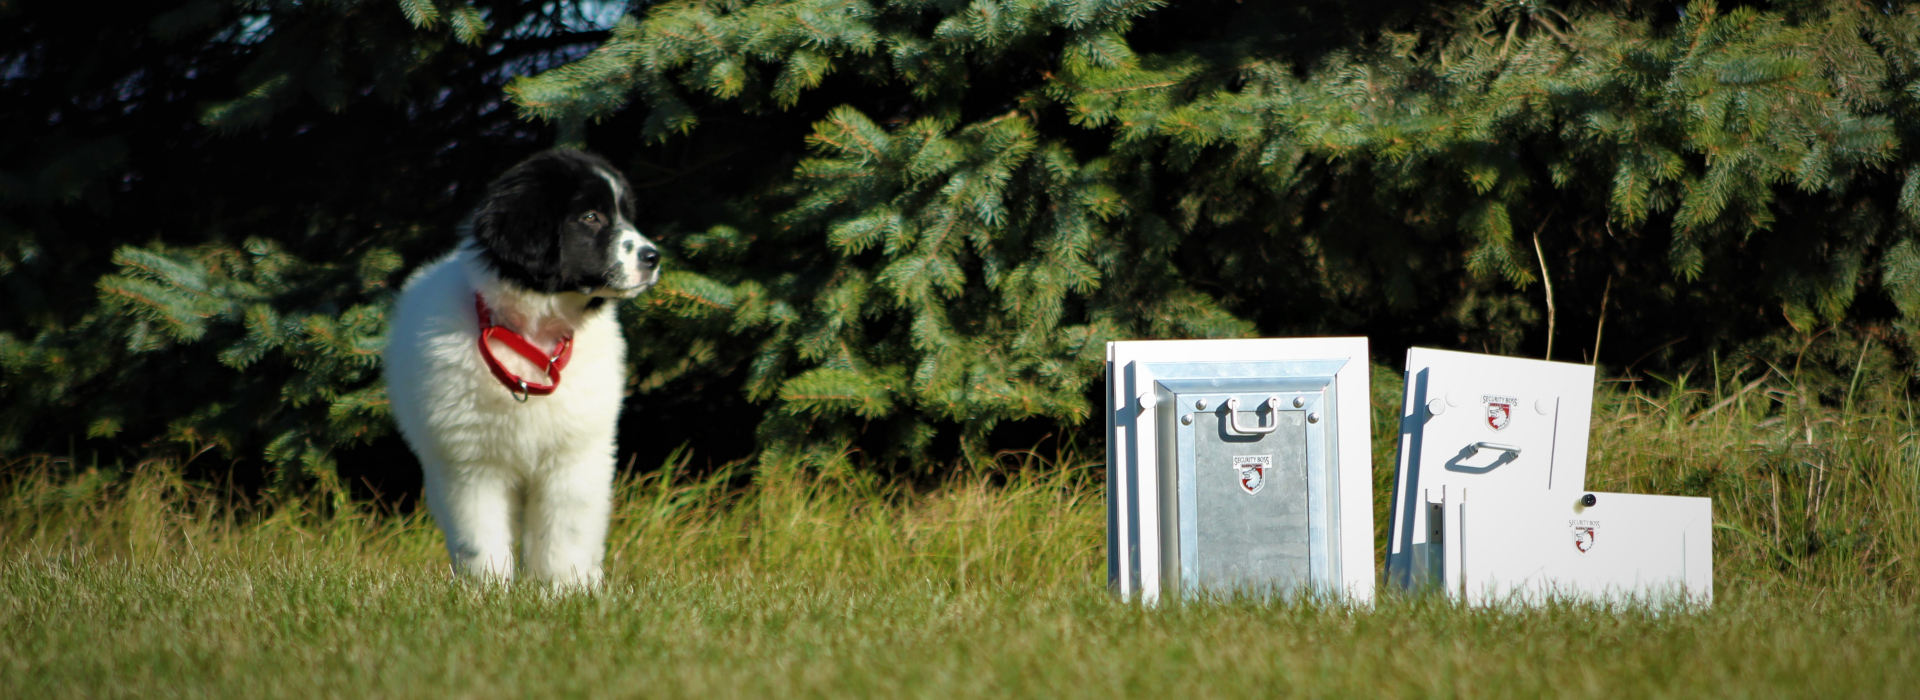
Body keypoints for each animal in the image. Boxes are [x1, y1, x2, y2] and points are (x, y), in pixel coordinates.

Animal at [382, 149, 660, 586]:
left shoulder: (573, 457)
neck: (531, 338)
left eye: (625, 215)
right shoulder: (471, 464)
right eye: (591, 217)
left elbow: (566, 535)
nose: (653, 257)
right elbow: (480, 538)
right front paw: (487, 591)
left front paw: (567, 590)